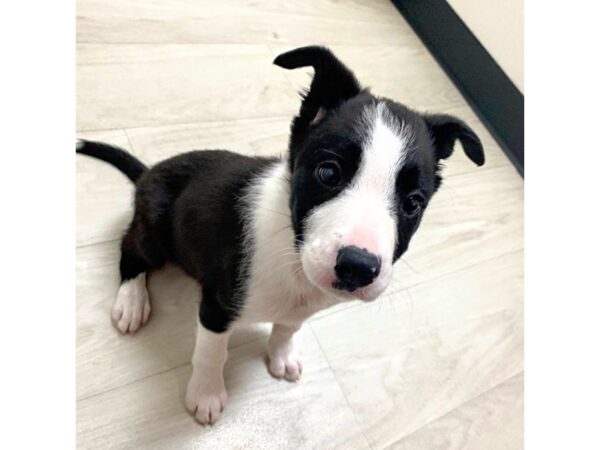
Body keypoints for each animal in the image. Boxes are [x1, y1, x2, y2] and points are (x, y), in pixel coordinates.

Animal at [77, 45, 486, 426]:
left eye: (413, 203)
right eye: (329, 173)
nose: (357, 267)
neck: (290, 249)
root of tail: (147, 172)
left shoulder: (300, 307)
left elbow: (288, 328)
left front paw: (281, 356)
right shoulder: (217, 304)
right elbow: (212, 352)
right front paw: (206, 394)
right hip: (155, 229)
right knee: (130, 249)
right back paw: (132, 301)